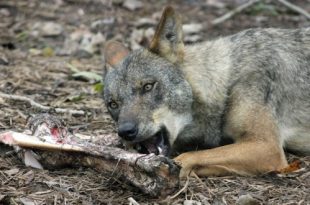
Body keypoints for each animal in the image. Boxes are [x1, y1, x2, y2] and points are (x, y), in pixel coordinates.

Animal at [102, 6, 310, 178]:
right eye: (113, 104)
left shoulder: (267, 147)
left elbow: (187, 157)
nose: (125, 131)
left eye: (147, 86)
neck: (227, 80)